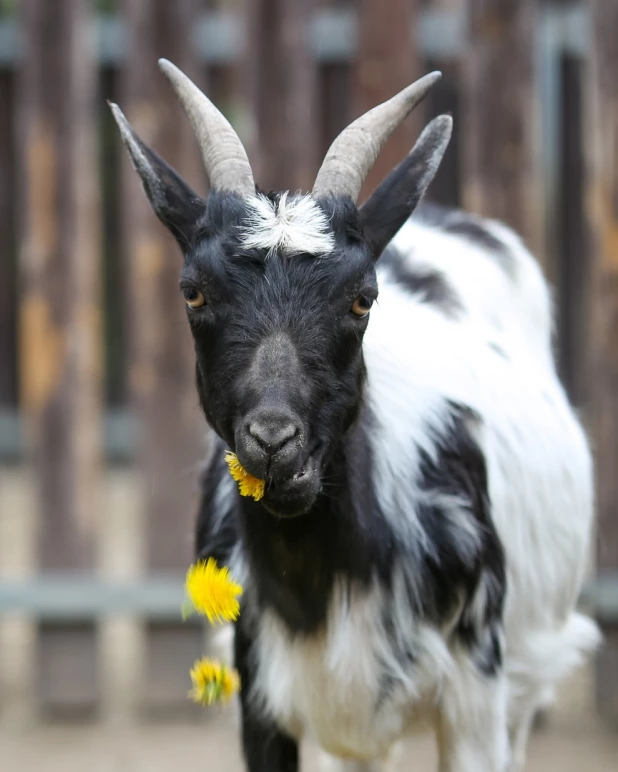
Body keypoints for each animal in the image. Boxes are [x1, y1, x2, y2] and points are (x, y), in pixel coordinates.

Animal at [110, 60, 596, 772]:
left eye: (363, 299)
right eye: (193, 292)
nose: (274, 443)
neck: (319, 578)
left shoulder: (476, 695)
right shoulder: (260, 693)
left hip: (525, 678)